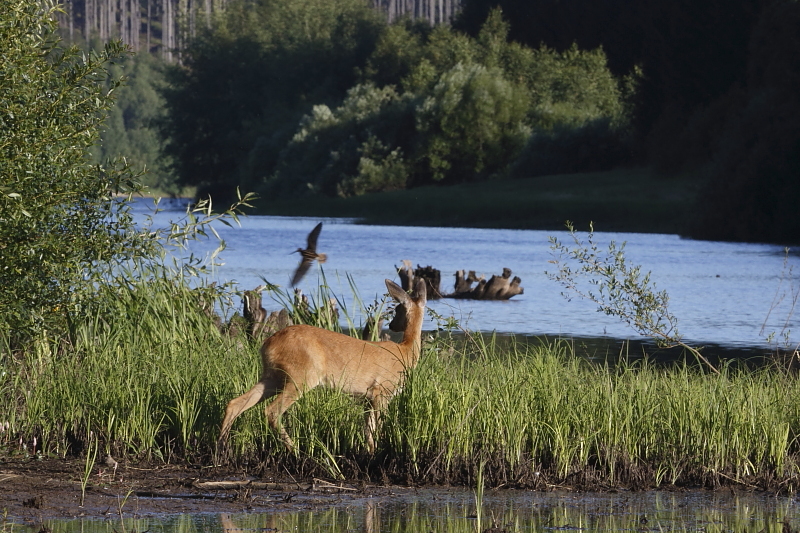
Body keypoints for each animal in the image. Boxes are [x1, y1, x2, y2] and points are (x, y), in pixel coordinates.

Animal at [216, 278, 428, 454]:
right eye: (397, 309)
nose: (392, 326)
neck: (406, 351)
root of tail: (267, 344)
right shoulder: (382, 390)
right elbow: (377, 428)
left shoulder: (368, 397)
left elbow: (368, 430)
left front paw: (370, 453)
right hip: (301, 376)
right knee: (272, 411)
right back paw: (295, 451)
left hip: (273, 376)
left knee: (235, 403)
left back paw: (222, 449)